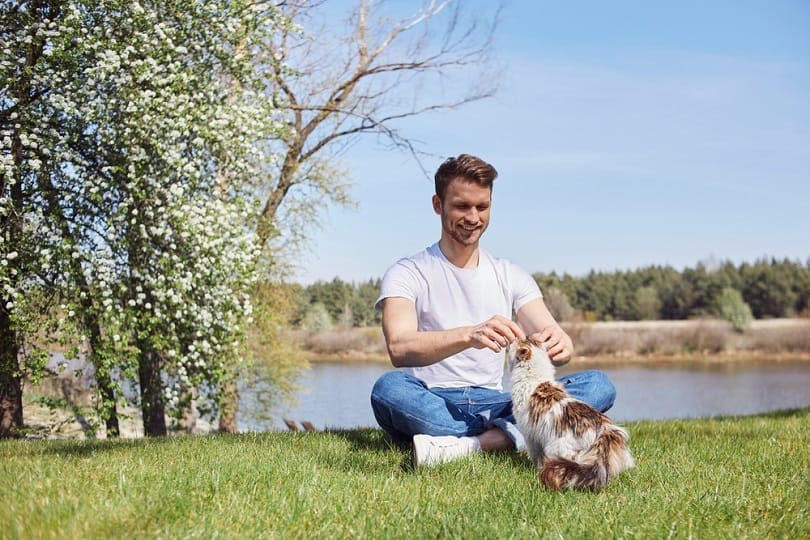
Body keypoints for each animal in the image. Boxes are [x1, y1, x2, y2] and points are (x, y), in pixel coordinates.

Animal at [504, 340, 632, 492]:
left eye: (516, 341)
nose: (510, 340)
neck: (535, 378)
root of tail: (604, 428)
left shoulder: (530, 434)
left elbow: (535, 454)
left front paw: (535, 466)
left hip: (559, 448)